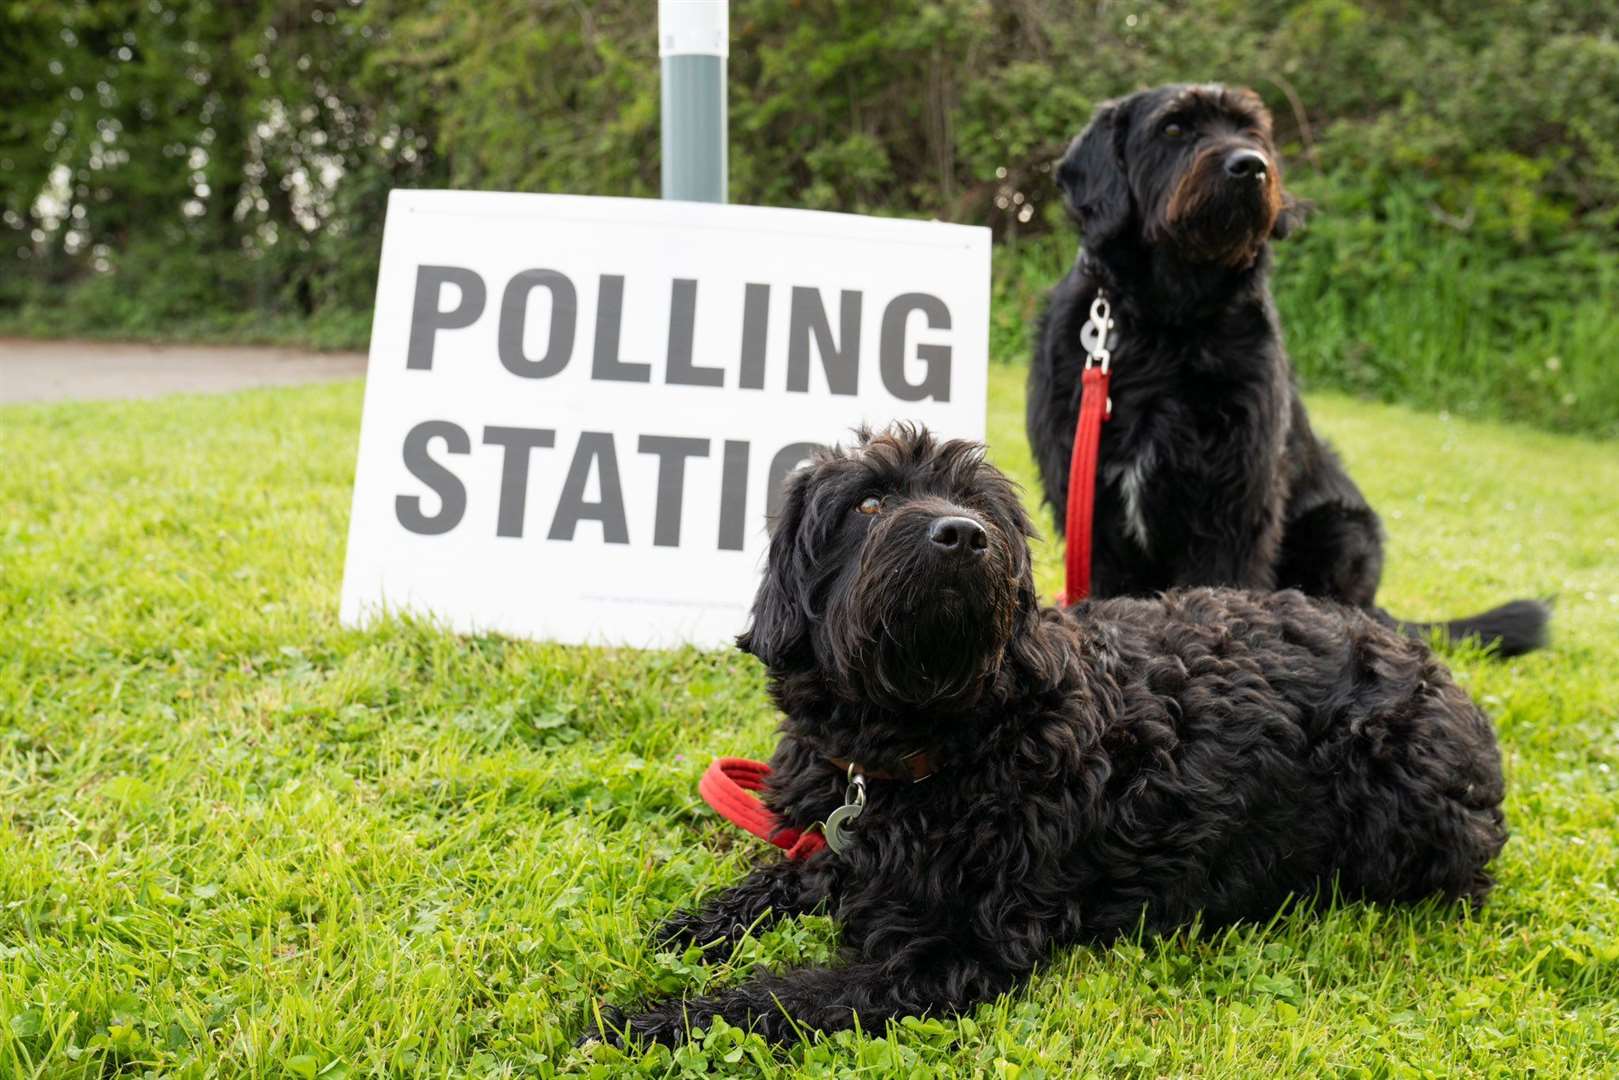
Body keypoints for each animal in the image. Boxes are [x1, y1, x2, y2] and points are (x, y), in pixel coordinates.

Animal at [589, 427, 1508, 1049]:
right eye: (868, 503)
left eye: (980, 506)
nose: (960, 535)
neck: (935, 739)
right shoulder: (832, 842)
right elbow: (770, 883)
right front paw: (693, 929)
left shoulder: (949, 953)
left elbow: (779, 999)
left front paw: (651, 1019)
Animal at [1029, 80, 1547, 654]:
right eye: (1174, 128)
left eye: (1252, 130)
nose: (1250, 167)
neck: (1169, 323)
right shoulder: (1092, 509)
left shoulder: (1235, 501)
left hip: (1343, 529)